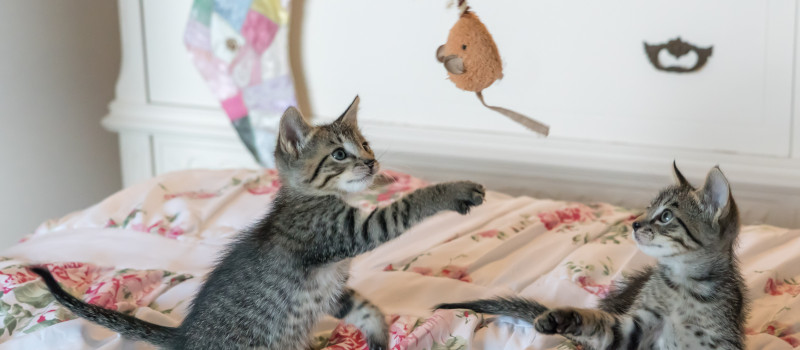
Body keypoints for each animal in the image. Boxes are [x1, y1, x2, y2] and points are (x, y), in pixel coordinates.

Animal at [31, 96, 484, 350]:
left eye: (366, 144)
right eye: (340, 154)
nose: (372, 163)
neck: (311, 197)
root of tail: (183, 336)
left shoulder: (330, 286)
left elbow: (362, 306)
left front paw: (378, 333)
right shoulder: (343, 234)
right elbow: (408, 205)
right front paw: (455, 189)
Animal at [438, 164, 744, 350]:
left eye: (666, 216)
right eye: (648, 208)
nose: (634, 223)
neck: (681, 285)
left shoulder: (717, 342)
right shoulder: (633, 330)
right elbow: (600, 324)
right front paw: (562, 317)